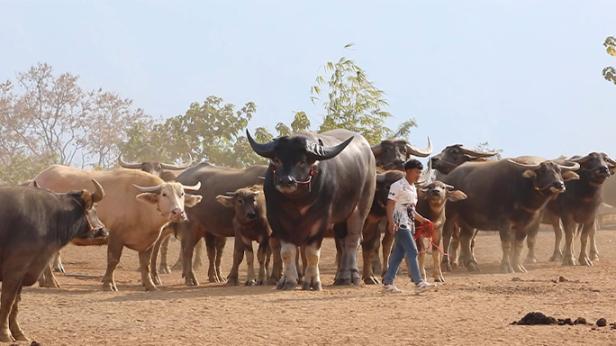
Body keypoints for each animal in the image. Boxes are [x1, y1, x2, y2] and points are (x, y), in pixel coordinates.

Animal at [0, 182, 107, 342]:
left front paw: (19, 333)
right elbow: (7, 301)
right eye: (94, 209)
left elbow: (15, 303)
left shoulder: (25, 273)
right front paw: (5, 334)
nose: (105, 231)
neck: (52, 216)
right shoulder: (14, 270)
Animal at [33, 166, 202, 290]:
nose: (178, 212)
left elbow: (145, 263)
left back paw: (43, 281)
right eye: (164, 194)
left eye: (182, 194)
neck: (140, 206)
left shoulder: (149, 242)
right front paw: (108, 284)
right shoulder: (116, 237)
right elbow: (113, 260)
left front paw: (150, 285)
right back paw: (51, 282)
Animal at [247, 128, 376, 290]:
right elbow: (287, 252)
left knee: (353, 240)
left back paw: (351, 276)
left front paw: (313, 282)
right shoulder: (277, 220)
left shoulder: (320, 221)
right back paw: (341, 277)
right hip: (340, 220)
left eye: (302, 161)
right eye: (277, 160)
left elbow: (312, 253)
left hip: (360, 208)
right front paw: (287, 280)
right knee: (342, 243)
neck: (297, 201)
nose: (286, 181)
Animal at [440, 157, 580, 274]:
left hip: (469, 220)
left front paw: (518, 266)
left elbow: (518, 245)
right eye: (543, 171)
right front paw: (506, 267)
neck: (523, 190)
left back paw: (471, 265)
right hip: (450, 215)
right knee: (447, 237)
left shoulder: (525, 224)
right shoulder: (504, 223)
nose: (559, 184)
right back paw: (446, 265)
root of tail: (449, 178)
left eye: (559, 171)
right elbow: (506, 244)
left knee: (465, 238)